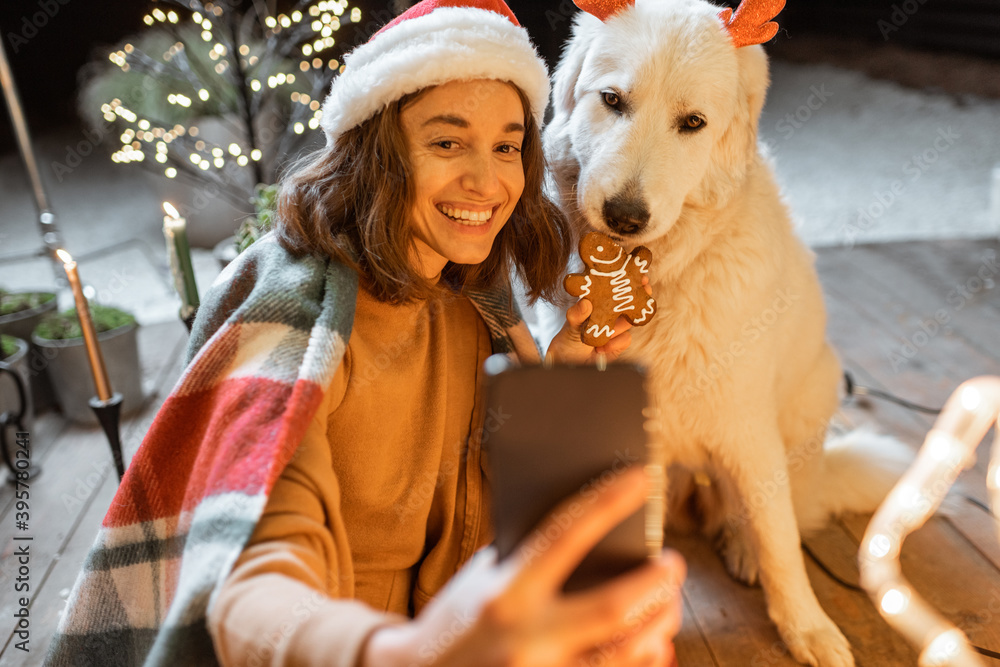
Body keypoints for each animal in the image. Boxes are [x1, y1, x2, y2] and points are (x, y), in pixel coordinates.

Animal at [540, 1, 916, 667]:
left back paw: (743, 550)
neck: (656, 273)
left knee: (766, 513)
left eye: (693, 123)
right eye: (611, 101)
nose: (625, 217)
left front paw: (807, 628)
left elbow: (780, 541)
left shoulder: (747, 428)